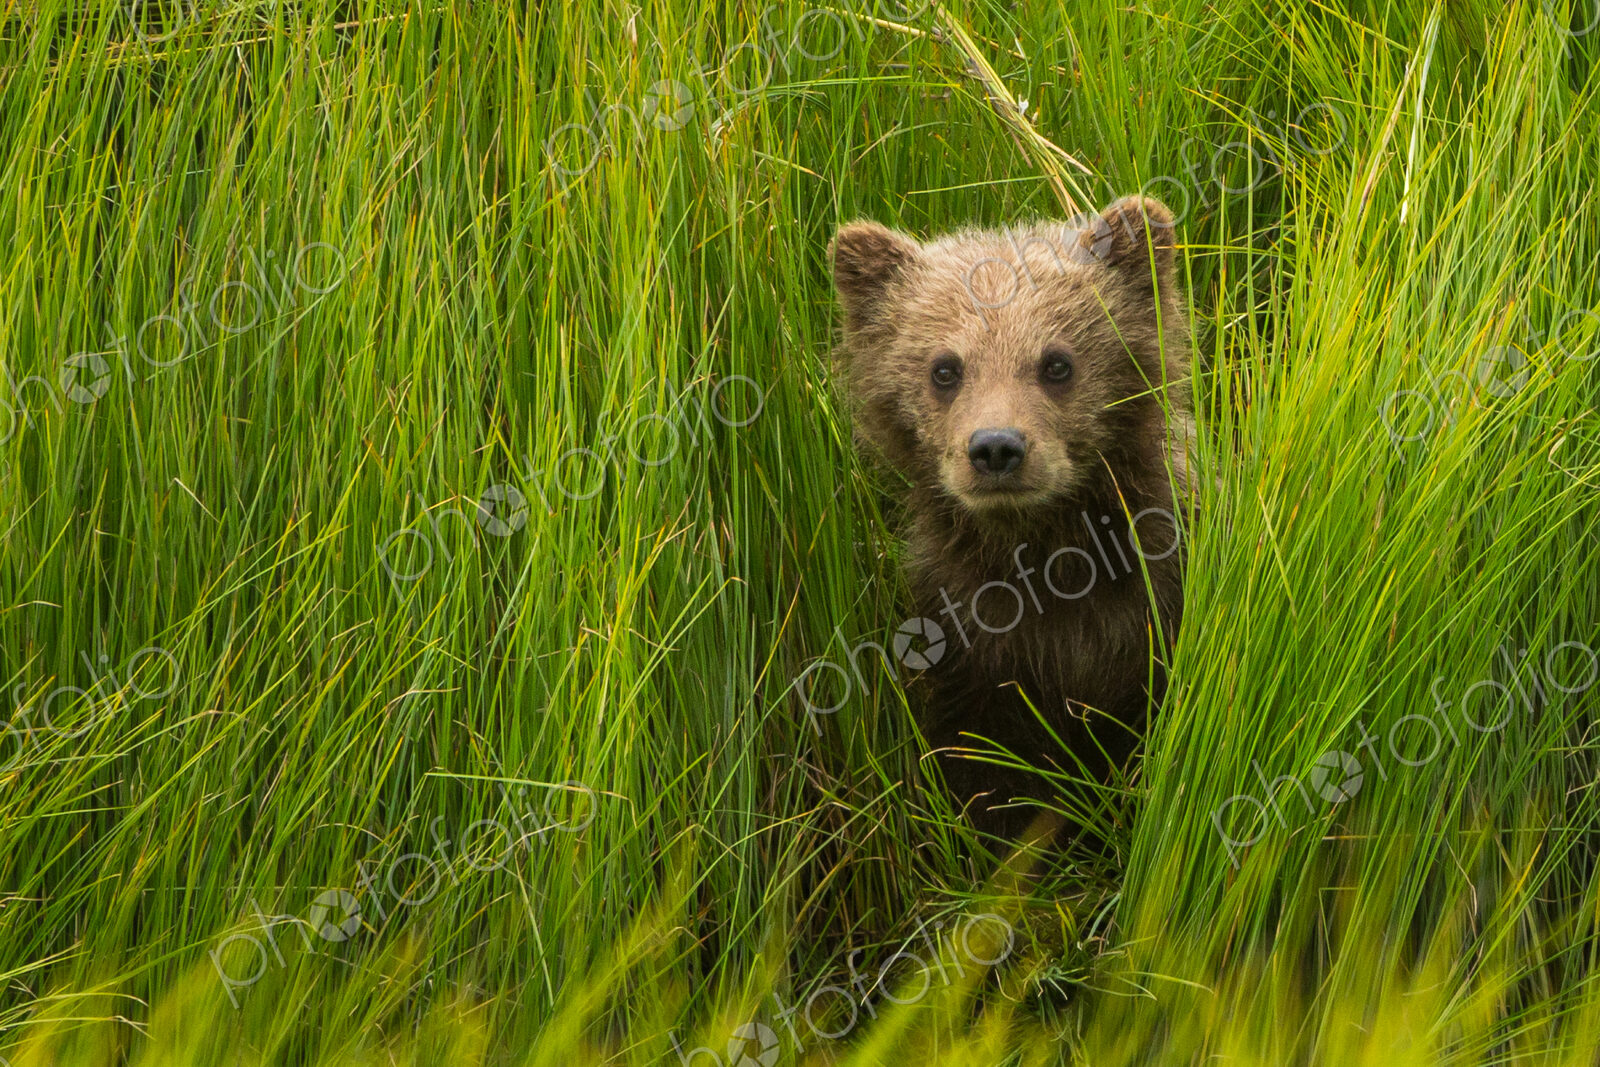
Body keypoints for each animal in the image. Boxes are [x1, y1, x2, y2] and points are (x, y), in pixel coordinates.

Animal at [827, 195, 1194, 842]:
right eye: (944, 368)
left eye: (1057, 363)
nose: (996, 447)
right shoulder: (965, 633)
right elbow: (984, 763)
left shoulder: (1154, 607)